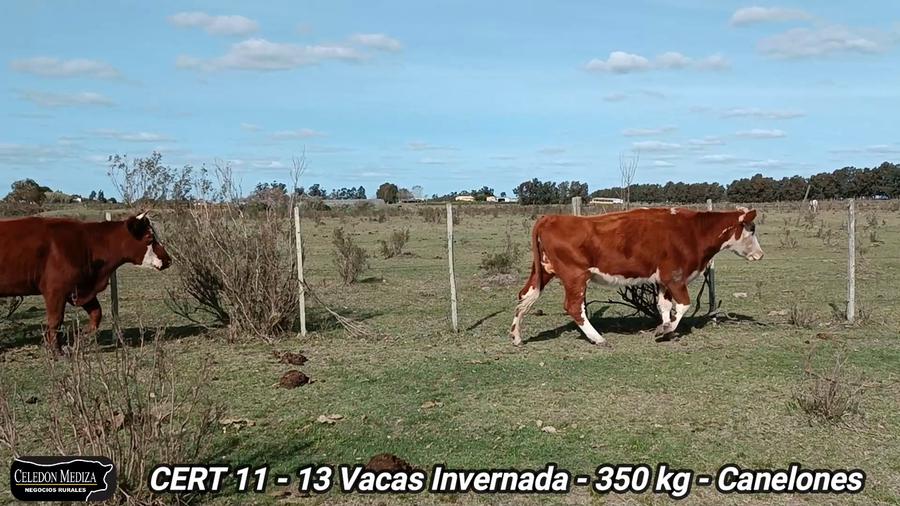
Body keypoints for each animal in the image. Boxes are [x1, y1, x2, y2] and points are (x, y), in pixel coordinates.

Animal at [0, 212, 172, 353]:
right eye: (149, 238)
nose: (168, 260)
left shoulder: (80, 289)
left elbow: (96, 313)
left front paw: (82, 336)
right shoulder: (55, 291)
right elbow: (55, 320)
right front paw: (57, 351)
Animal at [510, 206, 763, 347]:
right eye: (751, 229)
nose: (760, 254)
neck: (693, 230)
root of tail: (551, 217)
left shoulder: (662, 280)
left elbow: (664, 306)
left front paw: (666, 328)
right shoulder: (675, 277)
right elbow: (683, 305)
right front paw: (665, 329)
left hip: (544, 271)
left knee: (525, 296)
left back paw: (516, 336)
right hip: (575, 275)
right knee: (573, 306)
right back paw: (598, 338)